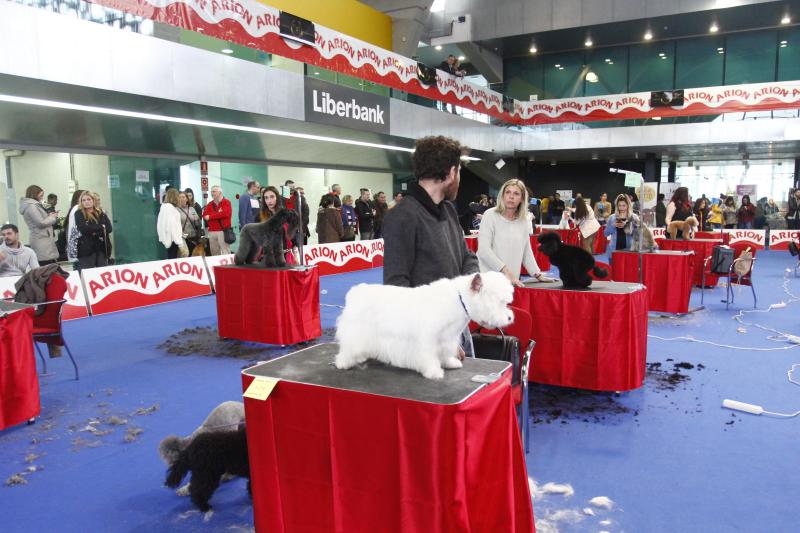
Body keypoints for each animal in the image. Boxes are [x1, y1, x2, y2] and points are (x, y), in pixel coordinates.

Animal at [334, 272, 516, 380]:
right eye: (499, 302)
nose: (509, 317)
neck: (459, 301)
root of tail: (355, 291)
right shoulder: (428, 340)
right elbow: (429, 357)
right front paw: (434, 372)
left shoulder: (447, 339)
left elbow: (445, 354)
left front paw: (451, 363)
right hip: (355, 331)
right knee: (347, 349)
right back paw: (343, 363)